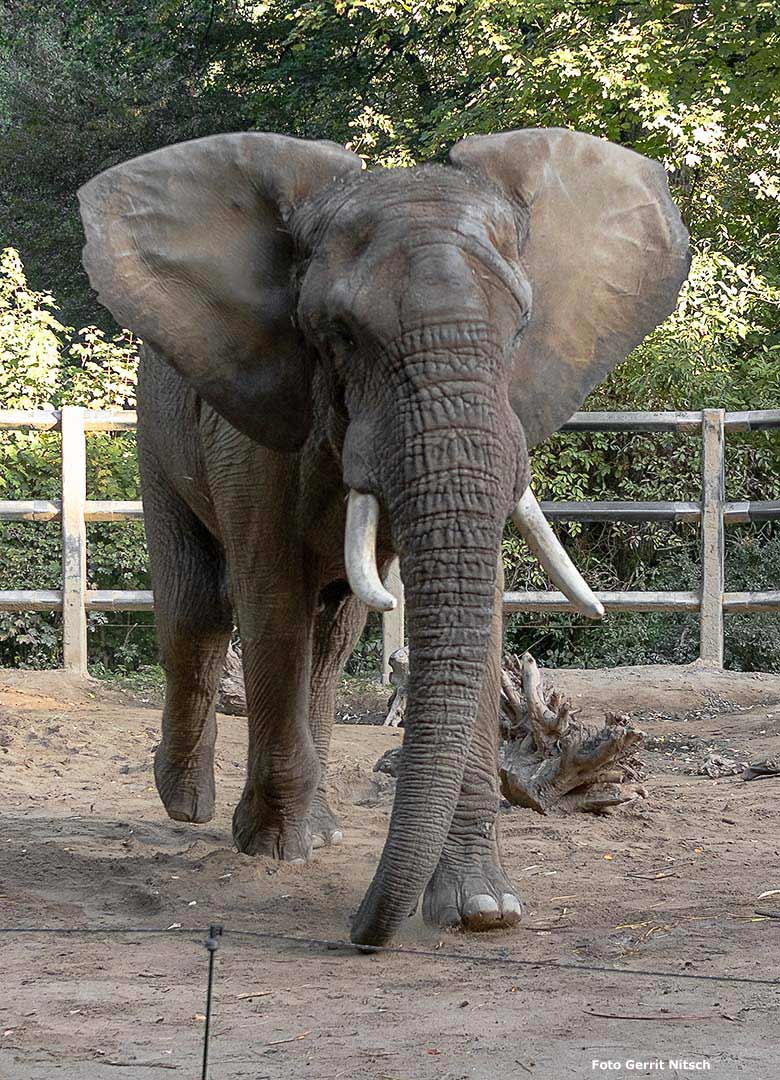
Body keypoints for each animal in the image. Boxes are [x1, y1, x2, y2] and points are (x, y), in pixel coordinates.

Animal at [77, 126, 687, 946]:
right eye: (339, 335)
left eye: (520, 328)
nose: (361, 930)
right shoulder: (256, 423)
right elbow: (269, 596)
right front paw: (280, 850)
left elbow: (476, 613)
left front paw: (482, 910)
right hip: (156, 421)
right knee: (198, 609)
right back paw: (195, 807)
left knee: (334, 631)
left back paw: (321, 825)